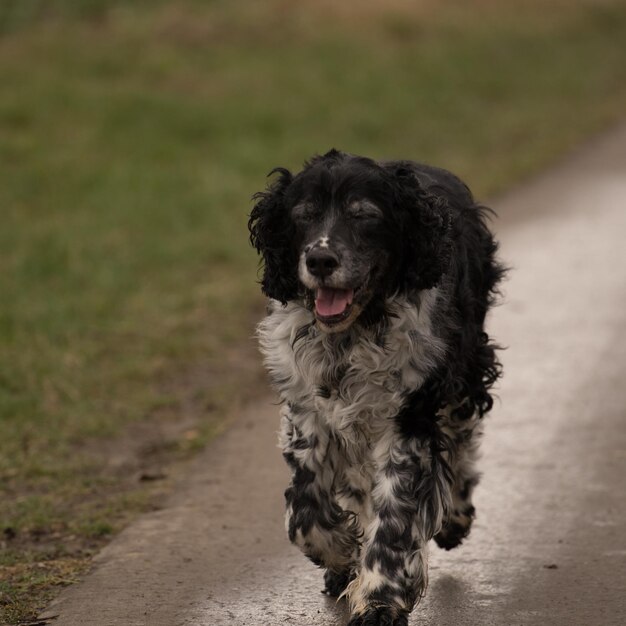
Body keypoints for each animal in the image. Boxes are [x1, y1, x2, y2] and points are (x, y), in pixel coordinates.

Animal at [247, 151, 502, 624]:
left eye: (364, 214)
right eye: (303, 214)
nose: (321, 260)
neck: (353, 332)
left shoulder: (409, 416)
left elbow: (395, 516)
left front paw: (380, 600)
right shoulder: (309, 413)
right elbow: (304, 513)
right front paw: (342, 552)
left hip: (467, 372)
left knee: (461, 441)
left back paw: (455, 518)